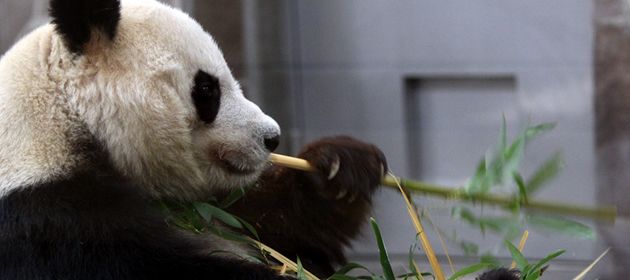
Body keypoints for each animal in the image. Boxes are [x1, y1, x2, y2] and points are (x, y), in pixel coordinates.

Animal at [0, 0, 388, 280]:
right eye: (207, 89)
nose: (272, 138)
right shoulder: (46, 222)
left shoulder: (210, 205)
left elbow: (280, 228)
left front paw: (340, 168)